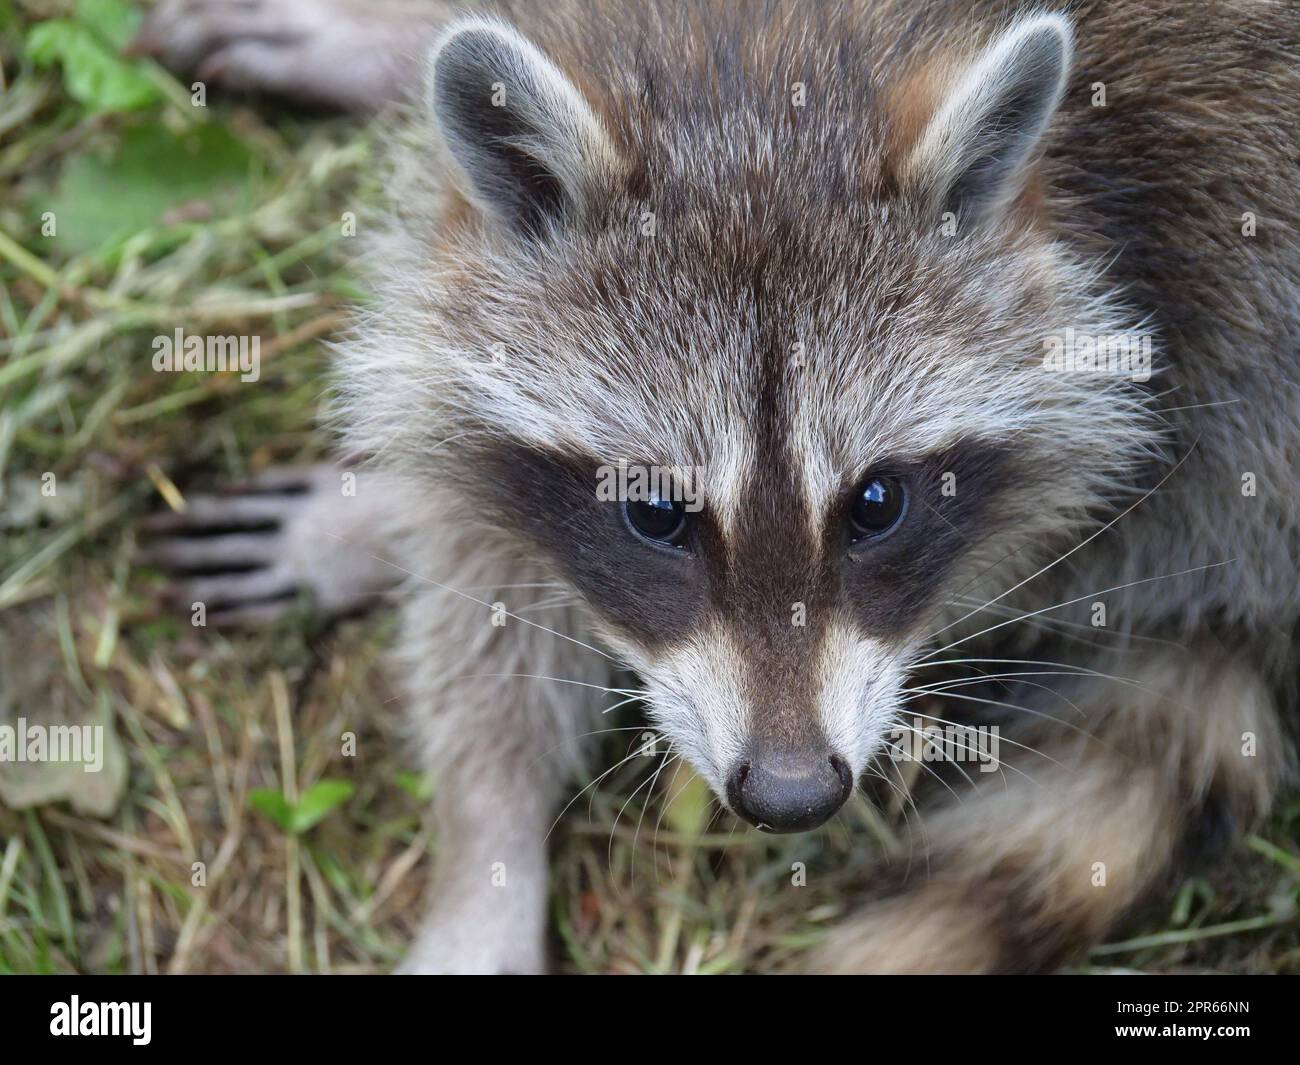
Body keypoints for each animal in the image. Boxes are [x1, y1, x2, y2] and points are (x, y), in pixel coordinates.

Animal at [137, 0, 1300, 973]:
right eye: (656, 513)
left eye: (878, 504)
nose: (791, 794)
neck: (759, 60)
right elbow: (494, 605)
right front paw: (487, 848)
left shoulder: (1212, 291)